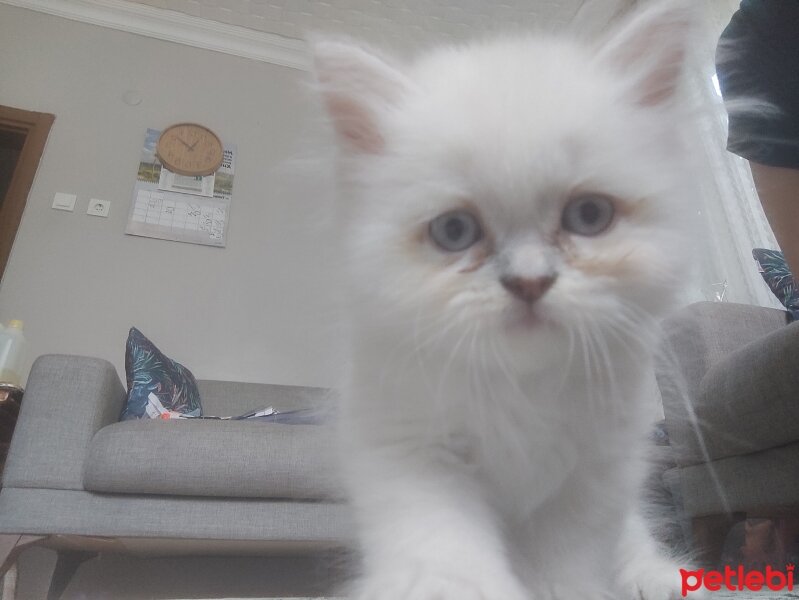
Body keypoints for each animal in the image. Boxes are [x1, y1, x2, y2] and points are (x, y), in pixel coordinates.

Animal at [312, 2, 700, 596]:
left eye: (589, 216)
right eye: (454, 231)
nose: (529, 282)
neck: (522, 390)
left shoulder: (590, 478)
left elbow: (566, 571)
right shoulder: (414, 454)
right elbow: (447, 555)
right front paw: (451, 587)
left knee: (636, 546)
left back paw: (657, 580)